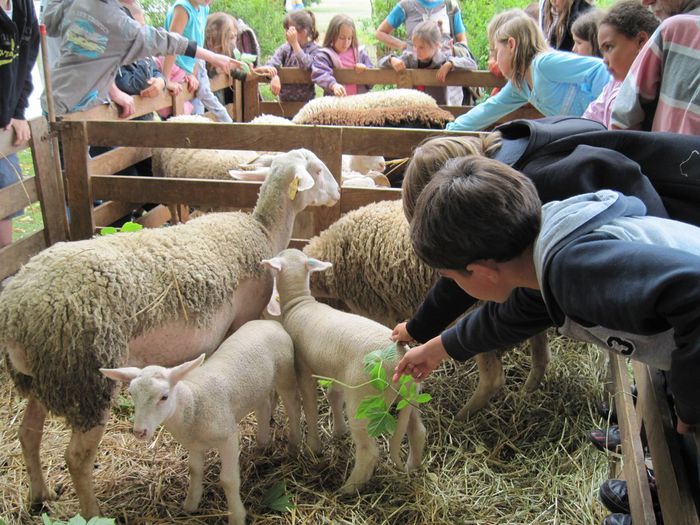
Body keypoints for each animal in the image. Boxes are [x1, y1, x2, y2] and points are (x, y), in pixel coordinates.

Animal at [100, 320, 300, 524]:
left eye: (164, 397)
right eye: (131, 394)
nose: (139, 432)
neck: (193, 403)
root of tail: (270, 322)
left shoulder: (228, 437)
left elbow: (228, 480)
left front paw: (236, 516)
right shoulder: (193, 444)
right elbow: (194, 470)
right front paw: (191, 504)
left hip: (285, 373)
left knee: (293, 407)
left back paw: (294, 445)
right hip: (258, 387)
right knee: (264, 407)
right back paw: (262, 444)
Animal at [262, 248, 426, 494]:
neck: (299, 303)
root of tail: (400, 360)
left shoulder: (304, 369)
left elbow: (309, 405)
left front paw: (313, 446)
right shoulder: (336, 374)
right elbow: (334, 396)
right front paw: (339, 431)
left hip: (362, 400)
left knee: (369, 451)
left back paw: (348, 488)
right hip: (408, 397)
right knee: (418, 430)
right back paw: (412, 466)